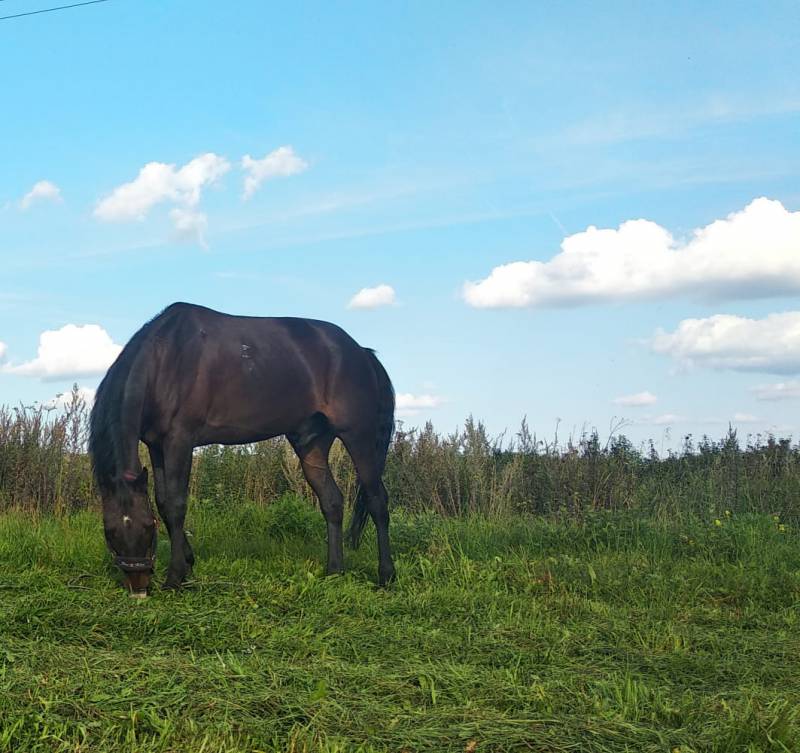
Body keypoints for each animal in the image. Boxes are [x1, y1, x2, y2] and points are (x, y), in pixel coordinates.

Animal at [88, 302, 396, 596]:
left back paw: (386, 576)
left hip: (359, 437)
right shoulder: (156, 446)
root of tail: (361, 352)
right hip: (311, 443)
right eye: (109, 532)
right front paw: (188, 565)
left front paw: (175, 578)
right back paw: (334, 572)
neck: (165, 360)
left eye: (147, 528)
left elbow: (176, 505)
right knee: (332, 501)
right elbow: (163, 502)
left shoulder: (179, 440)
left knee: (377, 500)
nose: (138, 587)